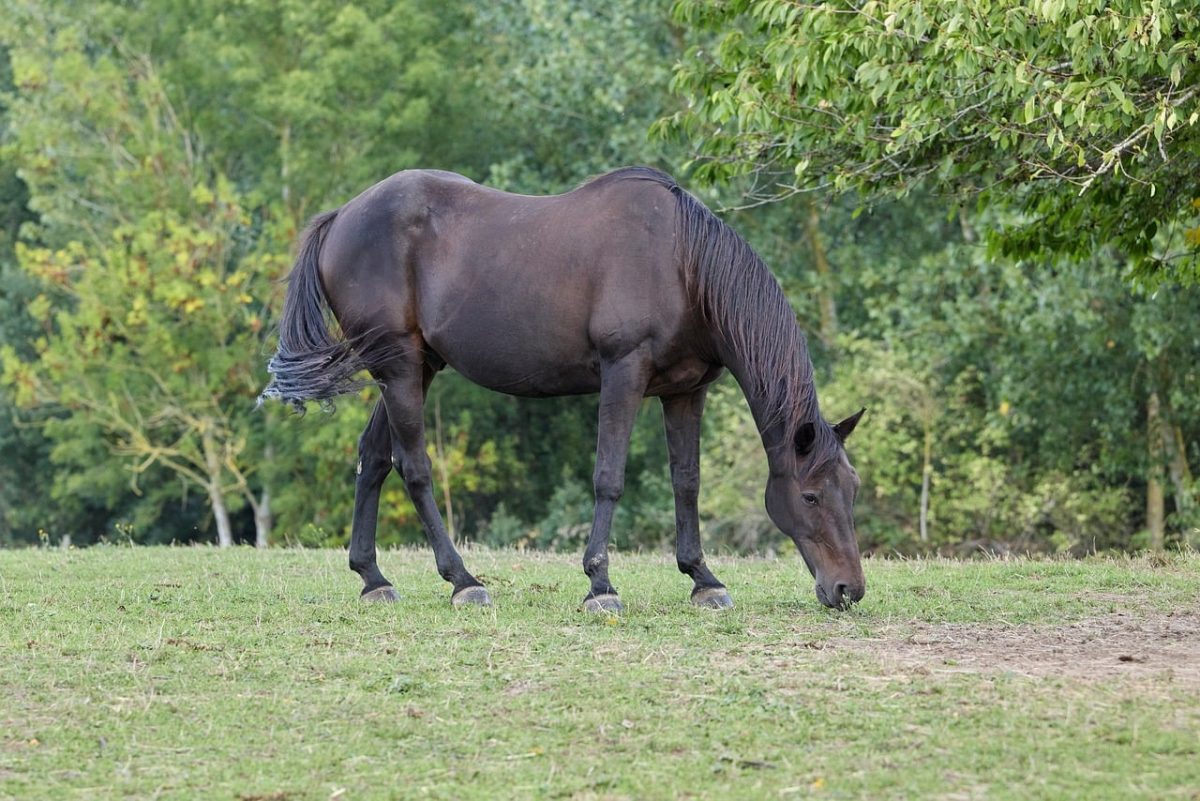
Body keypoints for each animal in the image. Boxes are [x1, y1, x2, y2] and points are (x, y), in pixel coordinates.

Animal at [260, 166, 866, 612]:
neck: (682, 264)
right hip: (401, 369)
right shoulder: (623, 374)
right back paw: (463, 581)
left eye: (852, 490)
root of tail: (342, 216)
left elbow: (687, 482)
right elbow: (608, 479)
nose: (848, 590)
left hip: (411, 367)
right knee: (414, 468)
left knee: (373, 459)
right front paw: (600, 584)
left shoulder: (685, 391)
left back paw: (373, 579)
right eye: (811, 496)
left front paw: (703, 579)